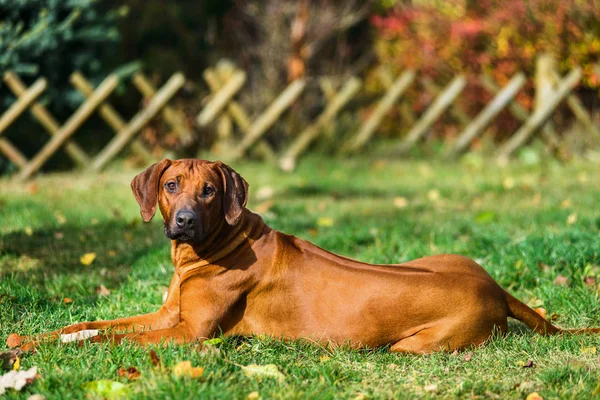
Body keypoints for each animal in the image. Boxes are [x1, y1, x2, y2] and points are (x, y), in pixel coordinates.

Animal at [9, 159, 600, 354]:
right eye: (172, 185)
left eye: (209, 192)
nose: (184, 222)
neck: (211, 249)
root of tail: (496, 288)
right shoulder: (166, 314)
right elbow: (87, 324)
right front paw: (26, 341)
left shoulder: (189, 334)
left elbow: (110, 339)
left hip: (417, 346)